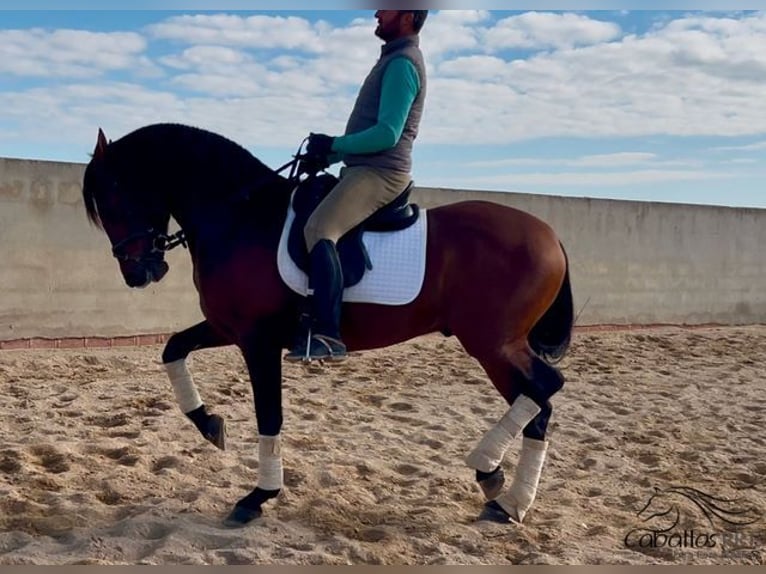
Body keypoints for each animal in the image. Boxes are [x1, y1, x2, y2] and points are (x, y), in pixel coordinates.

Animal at [84, 124, 576, 528]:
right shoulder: (227, 328)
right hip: (496, 346)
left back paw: (491, 474)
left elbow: (269, 414)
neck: (240, 218)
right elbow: (173, 349)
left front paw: (258, 497)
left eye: (112, 197)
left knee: (546, 386)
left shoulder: (258, 341)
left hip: (494, 344)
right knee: (538, 408)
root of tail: (551, 236)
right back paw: (504, 496)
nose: (138, 273)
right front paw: (209, 424)